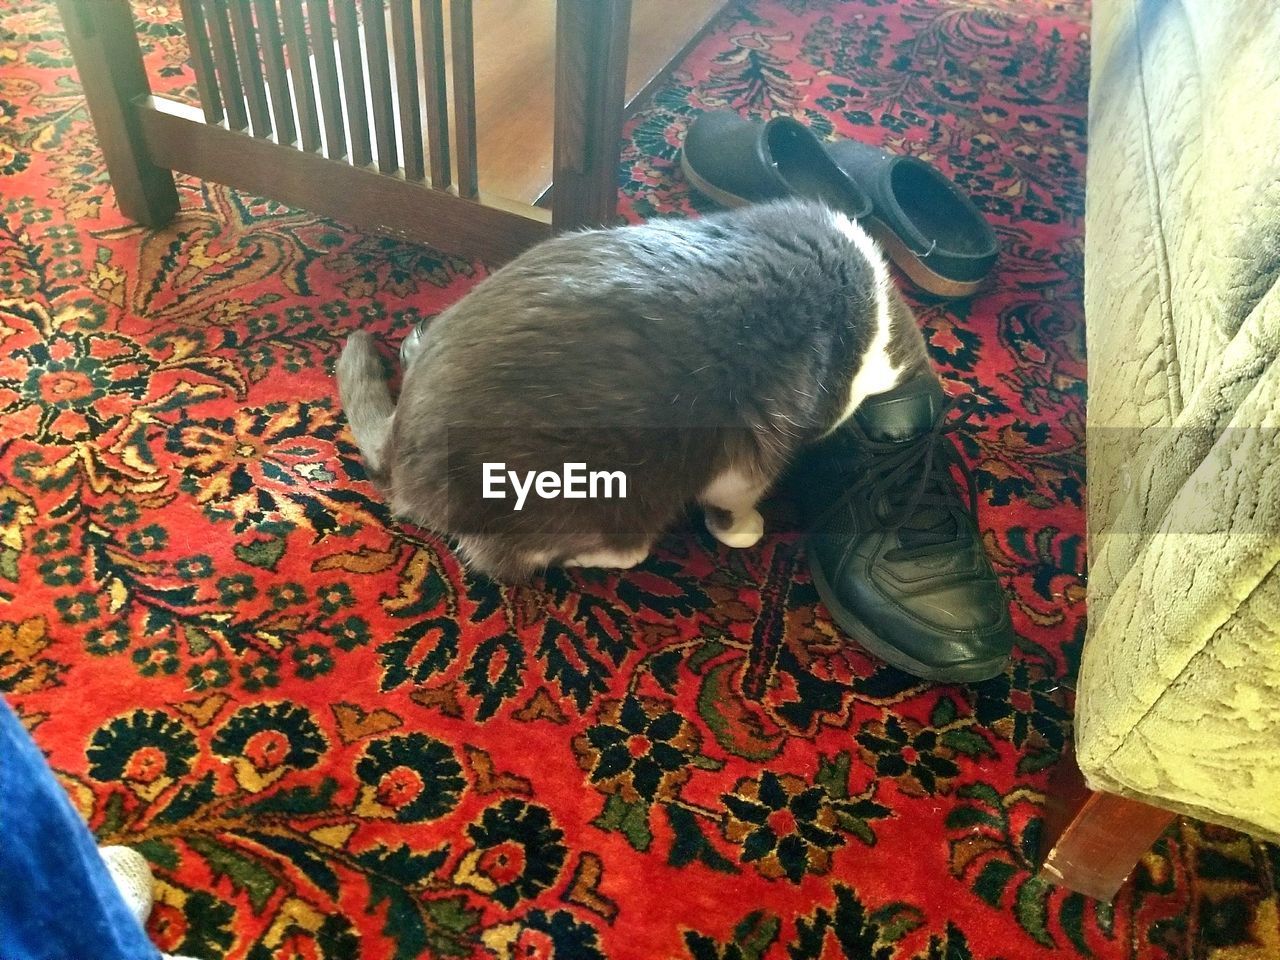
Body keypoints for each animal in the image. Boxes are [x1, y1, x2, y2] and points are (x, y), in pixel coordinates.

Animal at [335, 199, 926, 583]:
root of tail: (398, 444)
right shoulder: (756, 446)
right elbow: (735, 496)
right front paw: (741, 529)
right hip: (603, 489)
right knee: (535, 559)